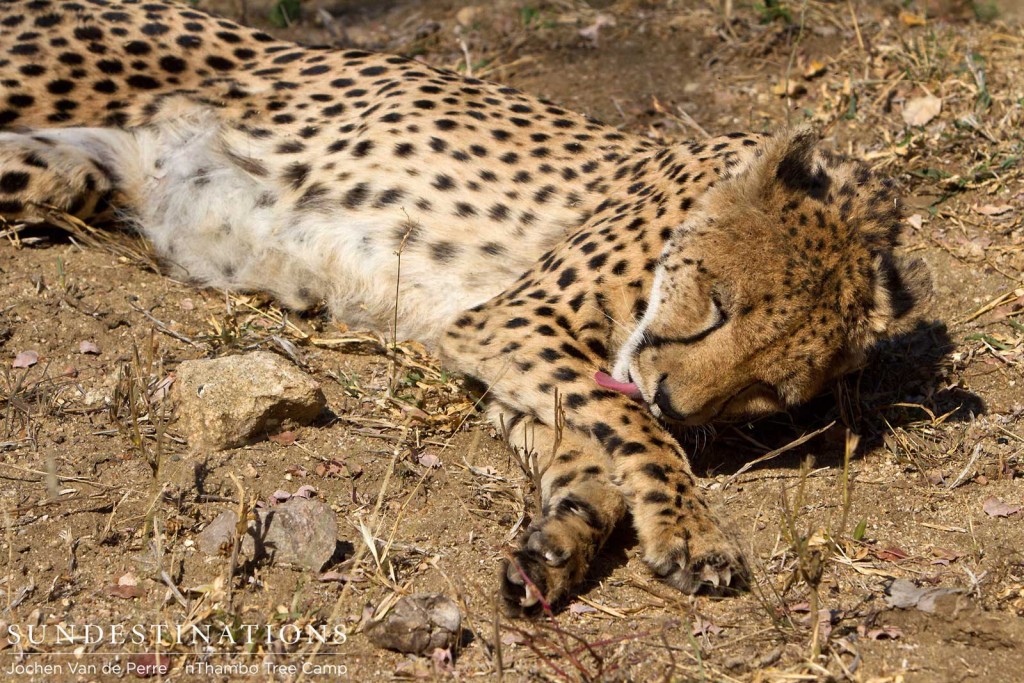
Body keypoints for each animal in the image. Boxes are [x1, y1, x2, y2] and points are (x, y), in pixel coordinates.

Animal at [0, 0, 929, 614]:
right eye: (717, 306)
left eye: (769, 391)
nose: (674, 393)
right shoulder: (514, 321)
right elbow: (642, 437)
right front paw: (692, 533)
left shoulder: (523, 359)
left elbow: (595, 455)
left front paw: (555, 546)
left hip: (58, 175)